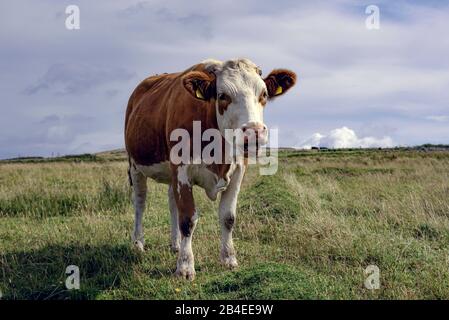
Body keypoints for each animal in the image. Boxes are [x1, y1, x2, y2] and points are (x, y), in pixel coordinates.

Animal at [124, 58, 296, 280]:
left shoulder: (238, 171)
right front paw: (185, 267)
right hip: (135, 166)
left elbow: (228, 217)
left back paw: (176, 244)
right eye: (223, 96)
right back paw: (138, 243)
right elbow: (188, 219)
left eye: (264, 94)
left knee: (171, 202)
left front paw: (228, 258)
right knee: (140, 203)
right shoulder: (182, 170)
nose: (254, 132)